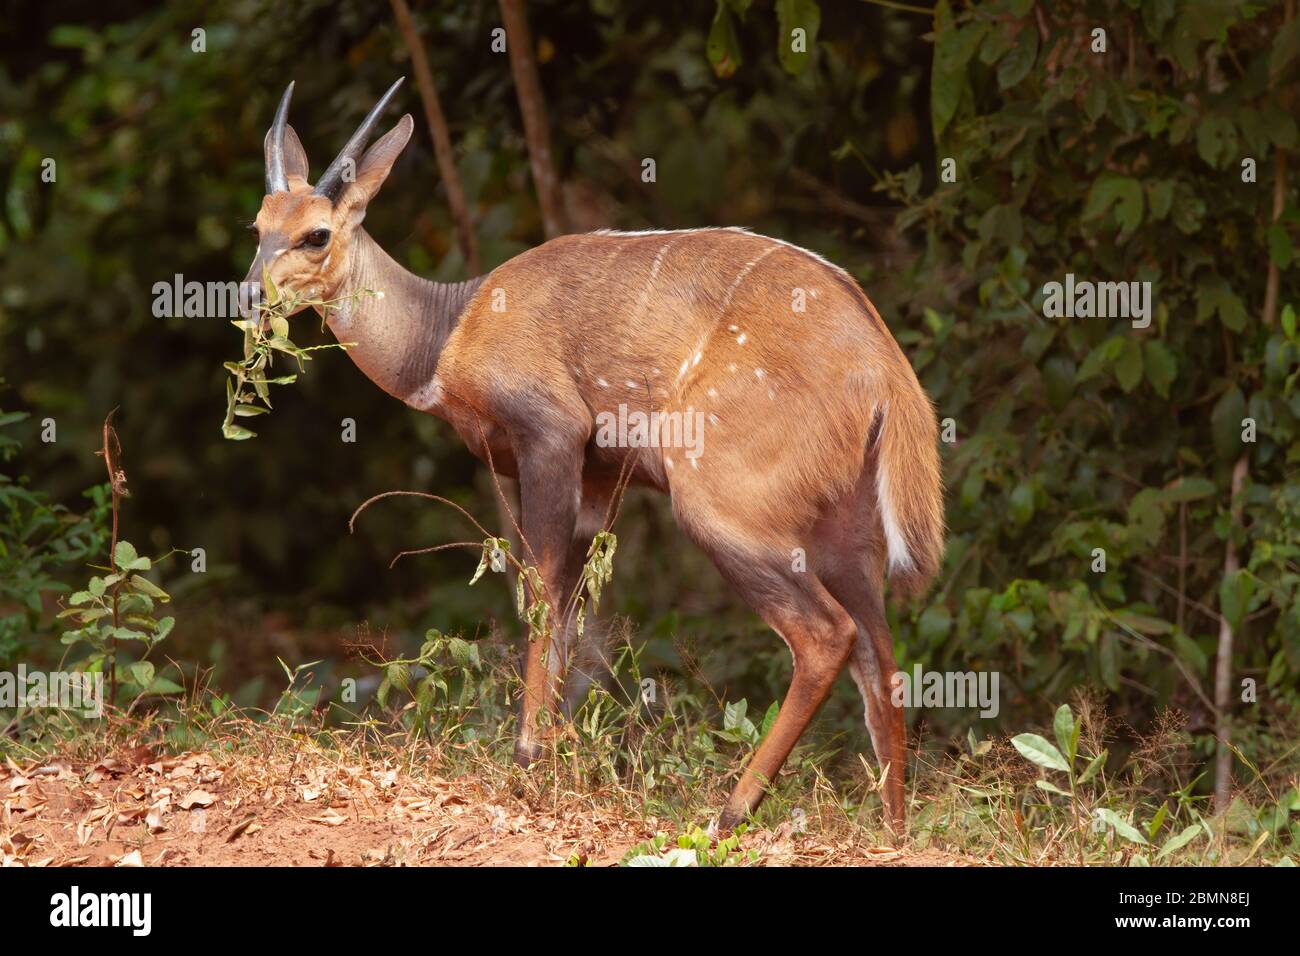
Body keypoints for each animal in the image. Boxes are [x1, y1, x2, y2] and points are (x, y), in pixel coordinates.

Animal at [244, 80, 941, 832]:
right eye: (257, 226)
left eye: (317, 233)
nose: (249, 295)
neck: (444, 337)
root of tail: (887, 375)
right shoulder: (603, 472)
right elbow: (574, 613)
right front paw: (559, 753)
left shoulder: (551, 430)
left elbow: (540, 593)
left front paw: (527, 758)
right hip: (845, 529)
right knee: (880, 648)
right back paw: (893, 823)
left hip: (722, 503)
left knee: (826, 634)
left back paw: (730, 810)